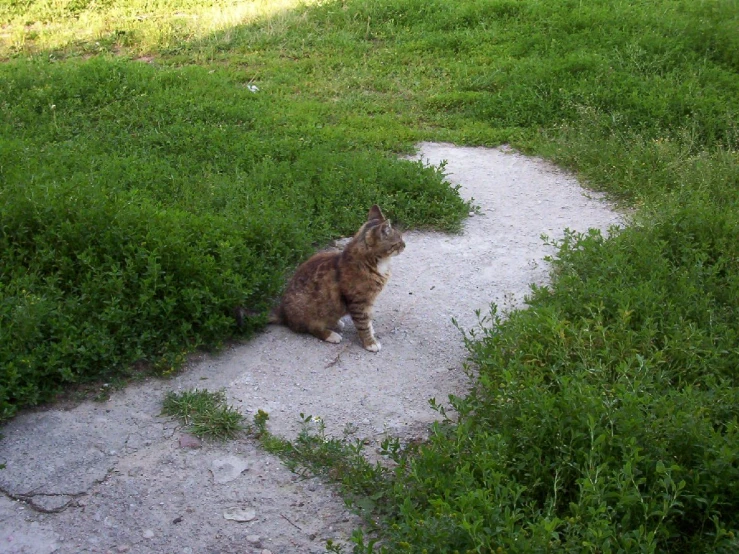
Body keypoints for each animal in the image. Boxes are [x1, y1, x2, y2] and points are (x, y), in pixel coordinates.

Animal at [272, 203, 408, 350]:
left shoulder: (369, 301)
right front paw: (369, 342)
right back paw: (331, 335)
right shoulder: (358, 302)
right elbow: (363, 324)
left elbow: (368, 320)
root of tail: (283, 312)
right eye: (398, 241)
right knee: (311, 328)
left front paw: (371, 332)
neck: (378, 263)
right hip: (310, 312)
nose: (405, 245)